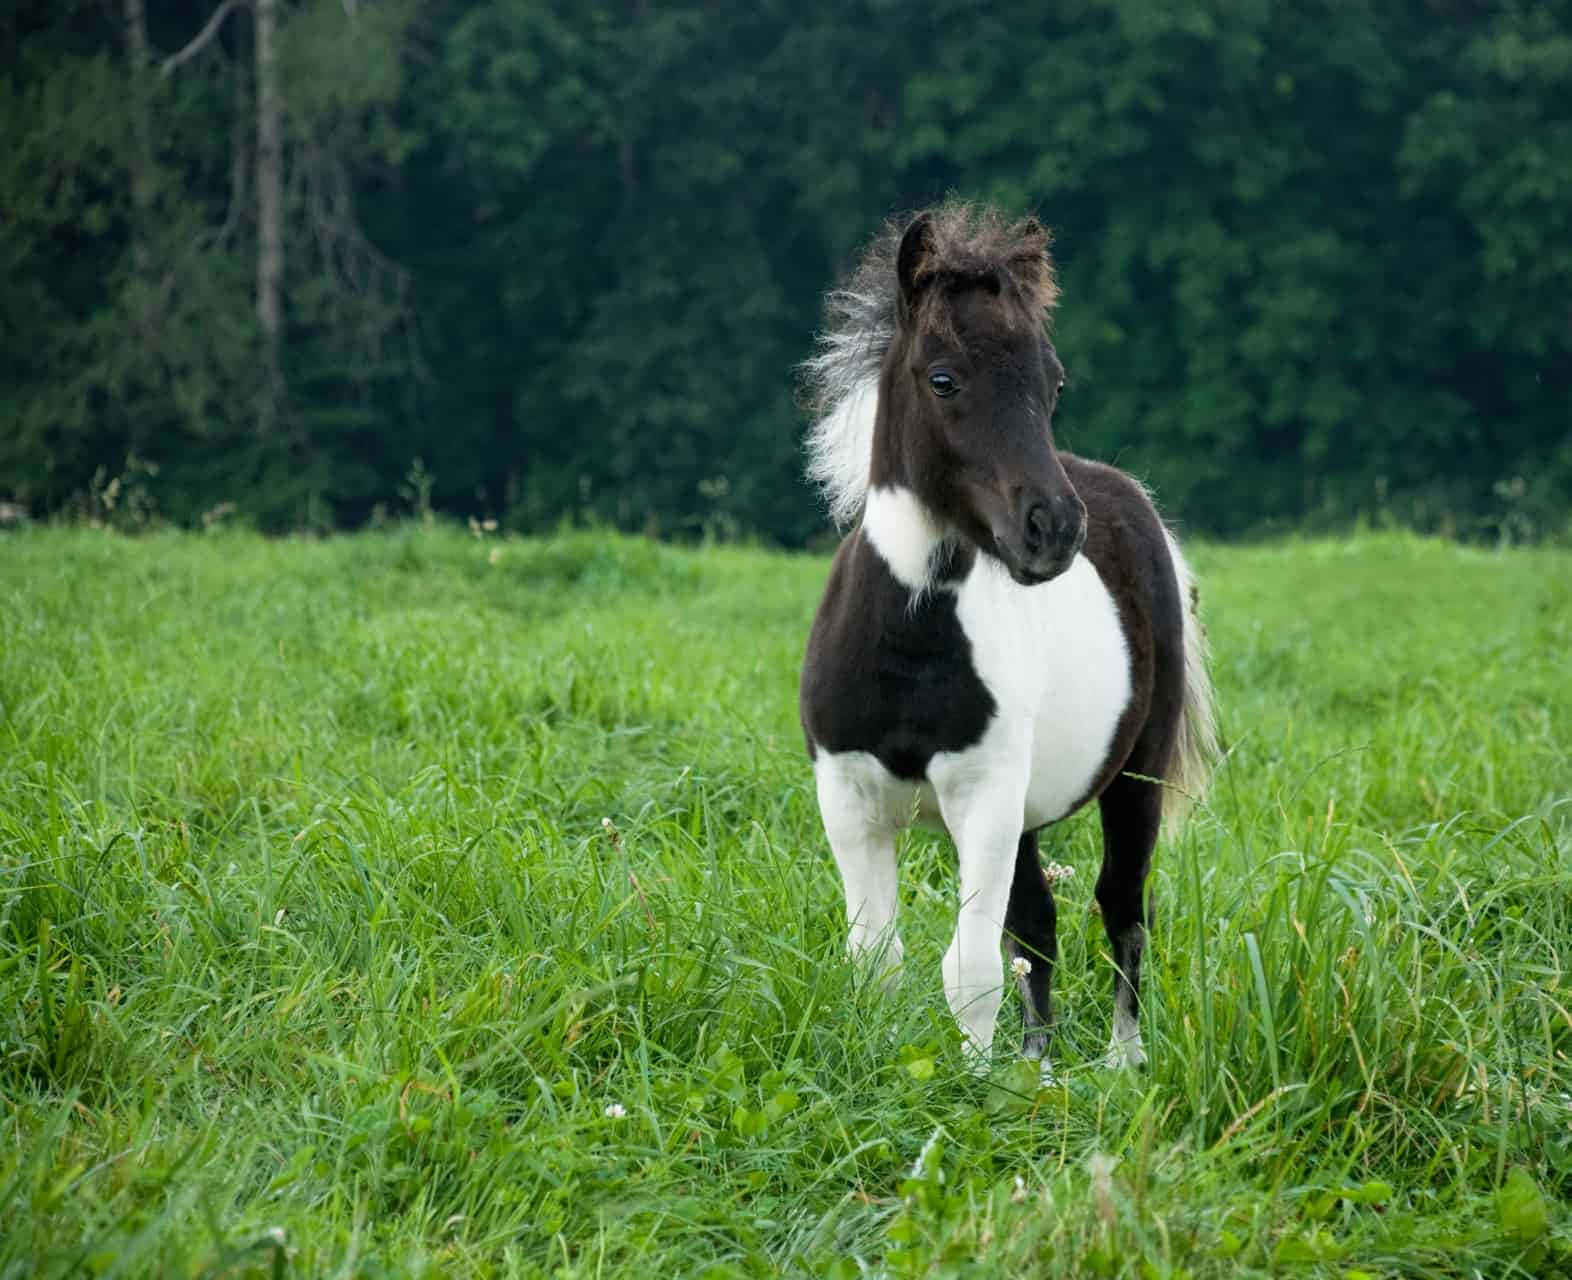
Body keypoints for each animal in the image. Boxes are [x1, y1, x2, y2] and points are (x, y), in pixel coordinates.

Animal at [798, 203, 1217, 1077]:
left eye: (1052, 382)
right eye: (943, 378)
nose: (1052, 530)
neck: (909, 647)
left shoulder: (982, 798)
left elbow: (972, 967)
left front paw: (977, 1087)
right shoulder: (849, 803)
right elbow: (879, 961)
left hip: (1135, 777)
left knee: (1121, 906)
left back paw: (1121, 1063)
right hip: (1024, 815)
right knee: (1041, 923)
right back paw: (1040, 1062)